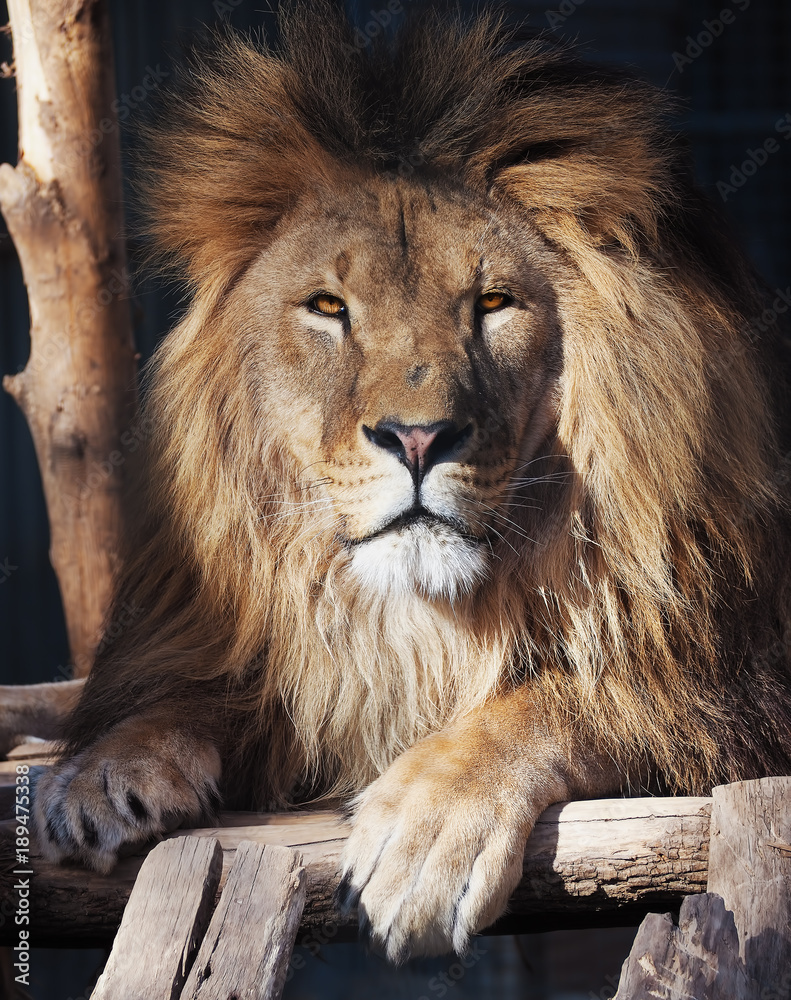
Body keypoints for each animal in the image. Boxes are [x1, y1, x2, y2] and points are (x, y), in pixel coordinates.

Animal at [30, 3, 791, 961]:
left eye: (492, 303)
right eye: (328, 308)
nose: (418, 438)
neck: (418, 616)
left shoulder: (741, 685)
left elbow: (559, 697)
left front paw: (422, 834)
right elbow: (206, 690)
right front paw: (101, 772)